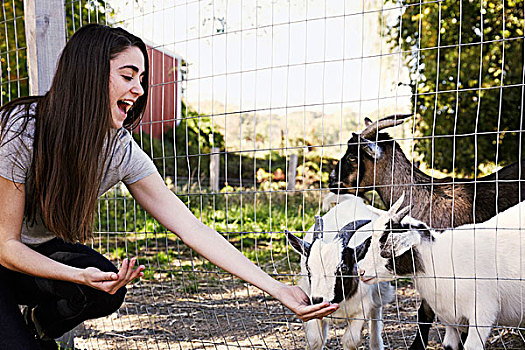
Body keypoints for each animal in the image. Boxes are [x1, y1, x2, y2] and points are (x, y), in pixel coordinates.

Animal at [286, 197, 392, 350]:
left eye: (343, 268)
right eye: (308, 268)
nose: (318, 299)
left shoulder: (361, 308)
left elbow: (350, 341)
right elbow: (315, 340)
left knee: (376, 313)